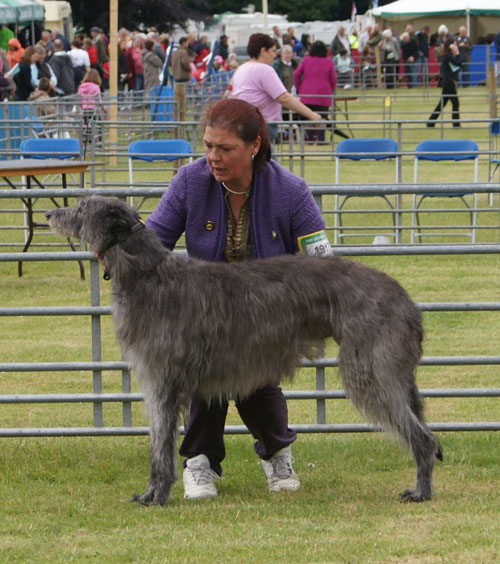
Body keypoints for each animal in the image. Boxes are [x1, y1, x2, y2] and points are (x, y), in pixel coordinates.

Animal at [46, 196, 442, 504]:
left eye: (80, 207)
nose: (50, 214)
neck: (147, 273)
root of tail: (405, 300)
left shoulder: (161, 384)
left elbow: (160, 449)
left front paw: (156, 496)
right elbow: (161, 445)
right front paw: (152, 494)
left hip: (370, 368)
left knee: (423, 438)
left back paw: (420, 491)